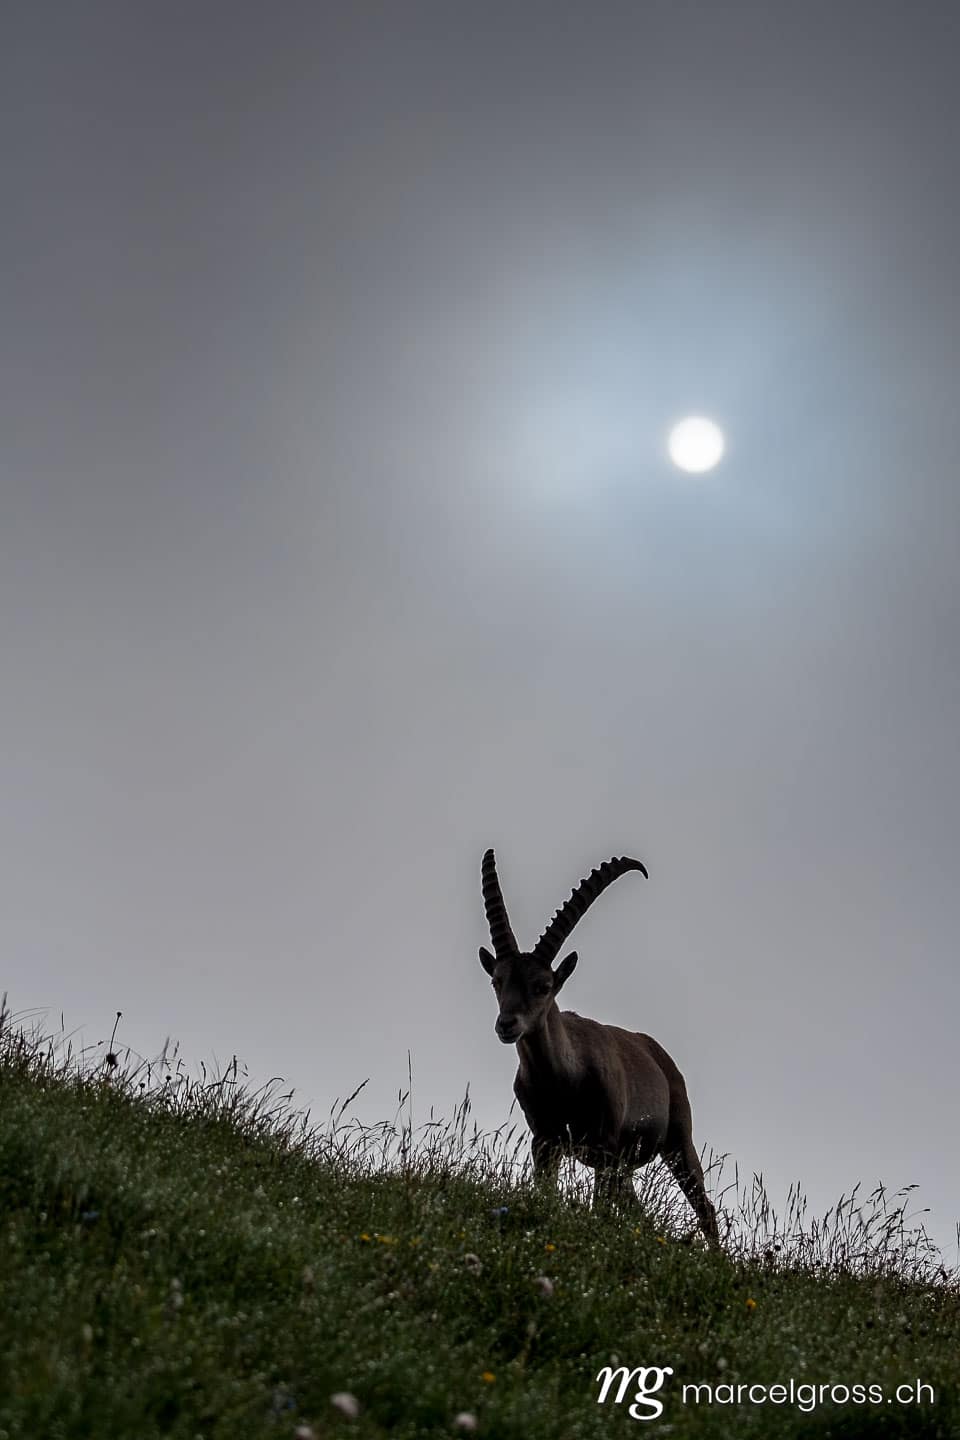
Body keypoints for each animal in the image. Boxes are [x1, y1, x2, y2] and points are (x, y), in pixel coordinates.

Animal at [479, 848, 719, 1244]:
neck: (562, 1082)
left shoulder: (605, 1145)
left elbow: (599, 1212)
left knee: (704, 1207)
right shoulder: (545, 1141)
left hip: (676, 1140)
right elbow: (547, 1193)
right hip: (623, 1167)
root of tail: (657, 1052)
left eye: (543, 986)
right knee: (637, 1210)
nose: (506, 1024)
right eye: (497, 980)